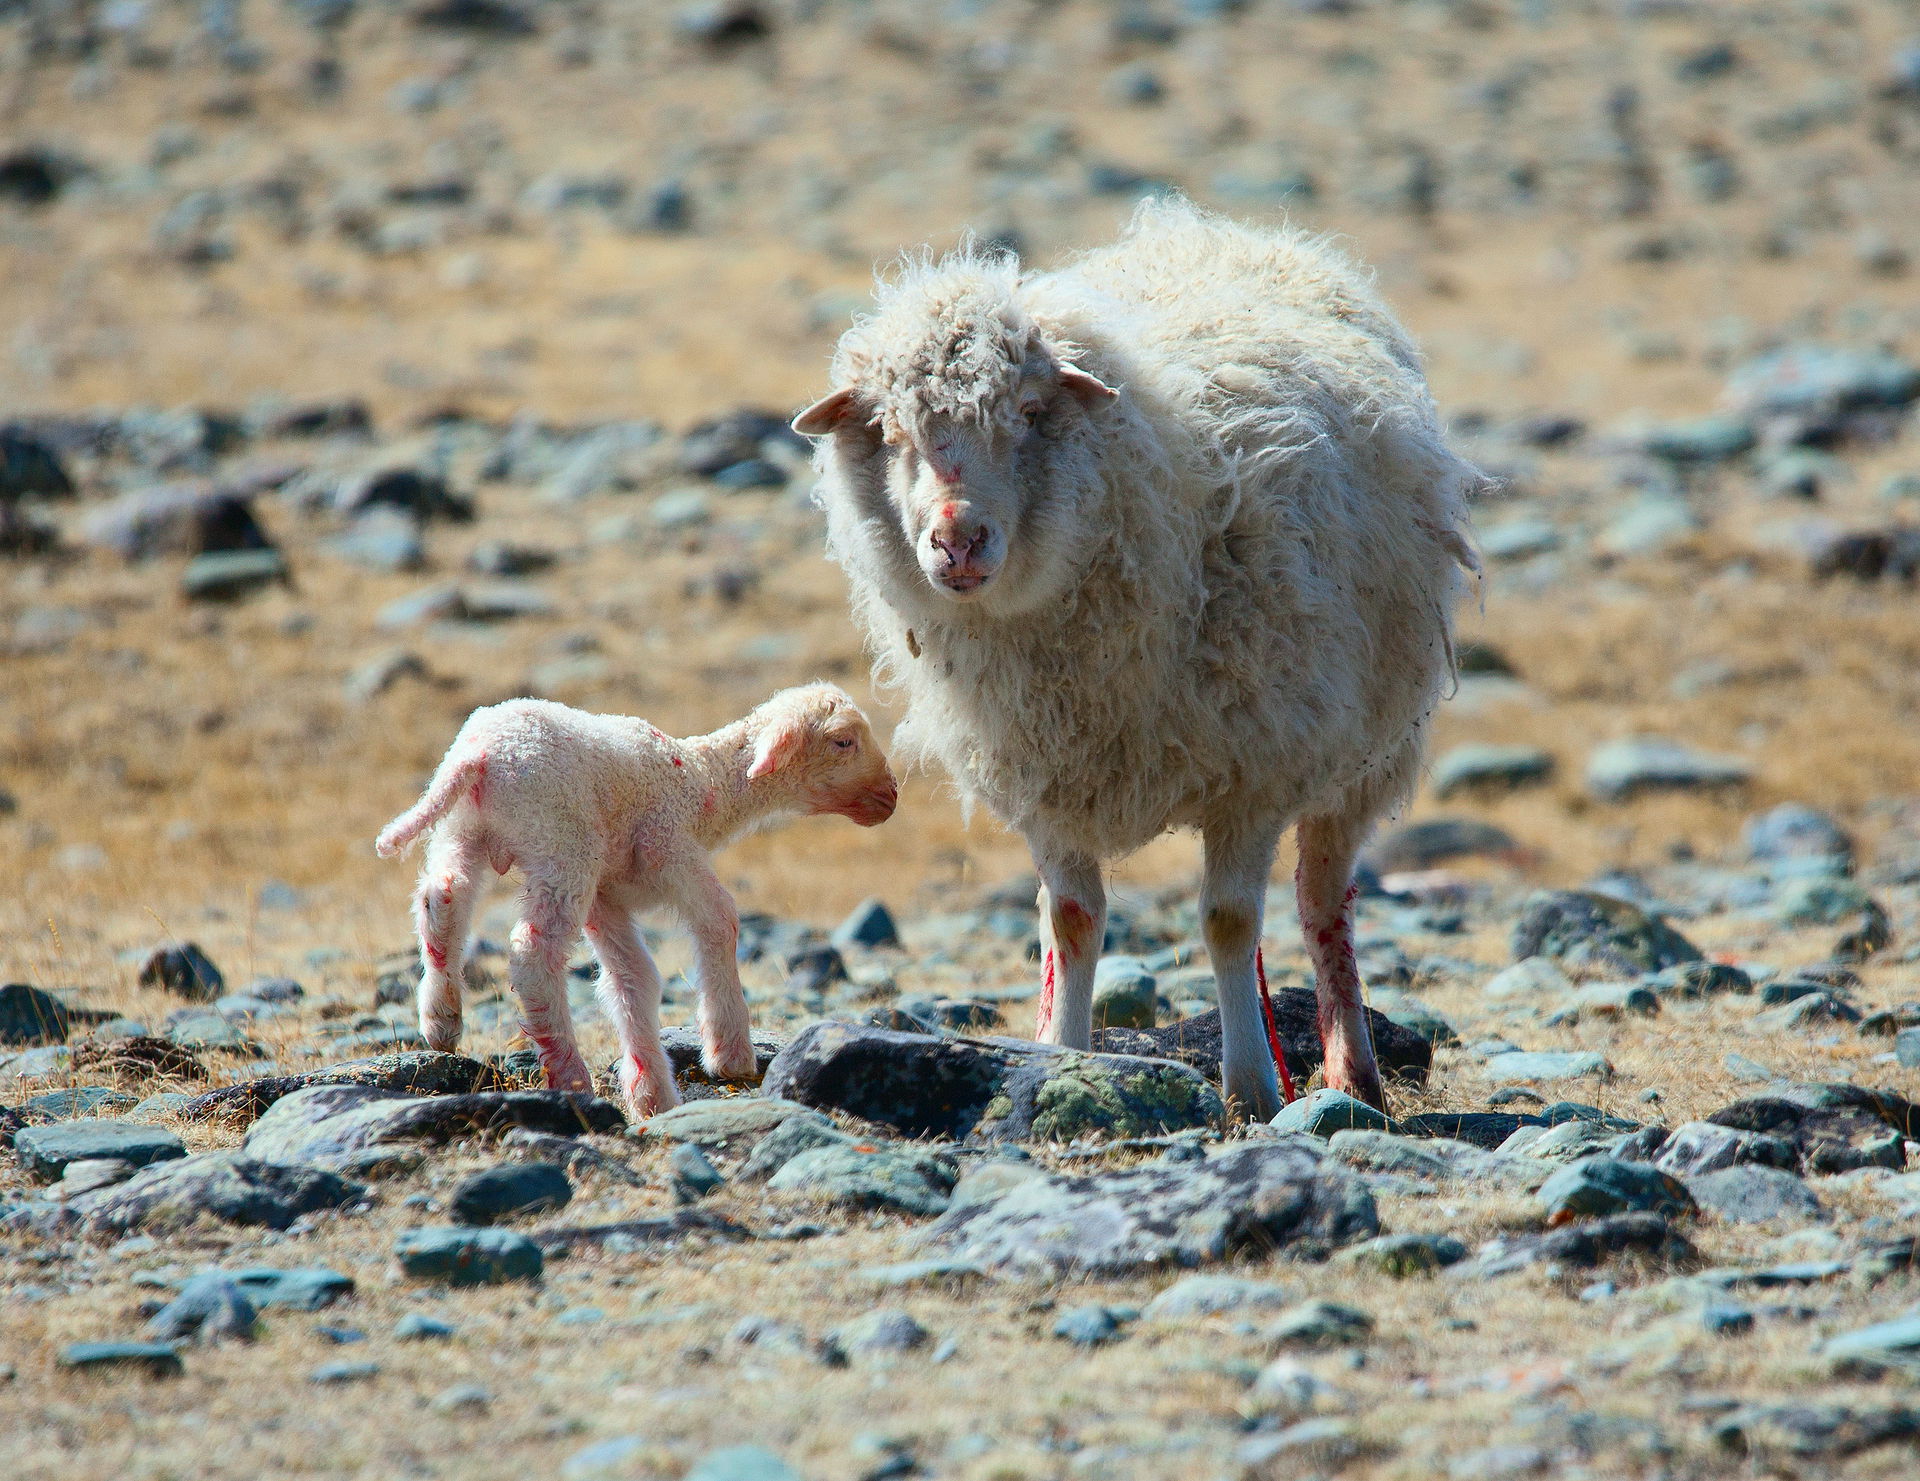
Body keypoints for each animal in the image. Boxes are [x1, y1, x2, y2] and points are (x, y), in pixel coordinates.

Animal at [374, 684, 898, 1118]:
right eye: (843, 742)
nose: (891, 797)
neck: (702, 784)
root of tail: (478, 754)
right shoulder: (670, 848)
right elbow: (722, 919)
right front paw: (729, 1056)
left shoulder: (607, 896)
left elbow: (634, 978)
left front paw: (652, 1095)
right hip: (563, 843)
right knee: (532, 951)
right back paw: (569, 1073)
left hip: (465, 830)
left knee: (441, 897)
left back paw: (441, 1020)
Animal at [793, 199, 1478, 1118]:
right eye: (888, 432)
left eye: (1032, 413)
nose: (957, 539)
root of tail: (1215, 228)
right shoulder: (1045, 776)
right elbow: (1070, 922)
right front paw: (1060, 1054)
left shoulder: (1253, 773)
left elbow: (1230, 923)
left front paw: (1251, 1086)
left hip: (1366, 748)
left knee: (1322, 901)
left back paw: (1351, 1071)